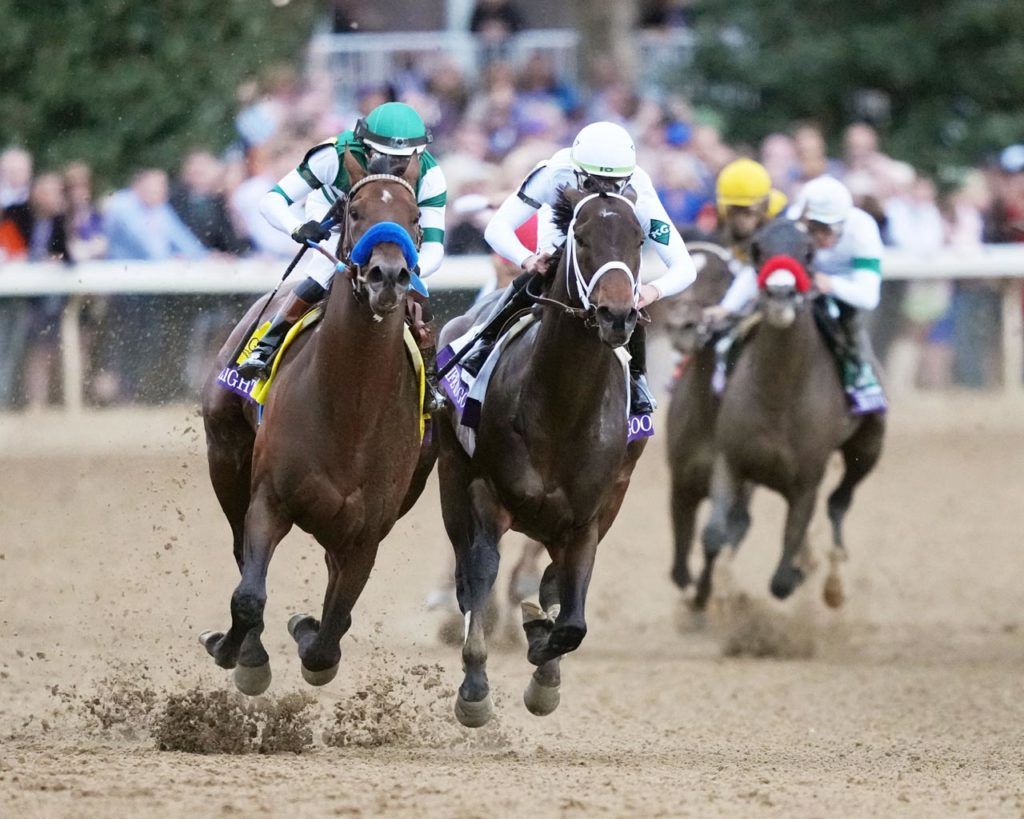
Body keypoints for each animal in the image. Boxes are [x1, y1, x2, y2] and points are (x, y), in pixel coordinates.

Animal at [199, 150, 436, 696]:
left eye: (415, 217)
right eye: (354, 211)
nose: (388, 276)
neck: (352, 409)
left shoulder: (368, 532)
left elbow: (330, 636)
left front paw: (305, 630)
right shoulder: (270, 498)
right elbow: (249, 595)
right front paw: (238, 654)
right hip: (225, 454)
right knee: (240, 550)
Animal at [436, 188, 643, 724]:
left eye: (639, 239)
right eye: (582, 238)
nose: (616, 315)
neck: (561, 407)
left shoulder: (588, 516)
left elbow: (571, 621)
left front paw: (541, 656)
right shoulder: (485, 490)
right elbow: (480, 572)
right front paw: (475, 688)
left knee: (552, 582)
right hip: (450, 478)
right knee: (467, 570)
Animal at [700, 217, 884, 606]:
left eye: (808, 252)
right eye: (757, 249)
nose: (780, 294)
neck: (778, 396)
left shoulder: (806, 482)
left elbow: (783, 580)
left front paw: (803, 570)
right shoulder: (731, 460)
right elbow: (713, 535)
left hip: (869, 445)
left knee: (839, 502)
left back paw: (833, 579)